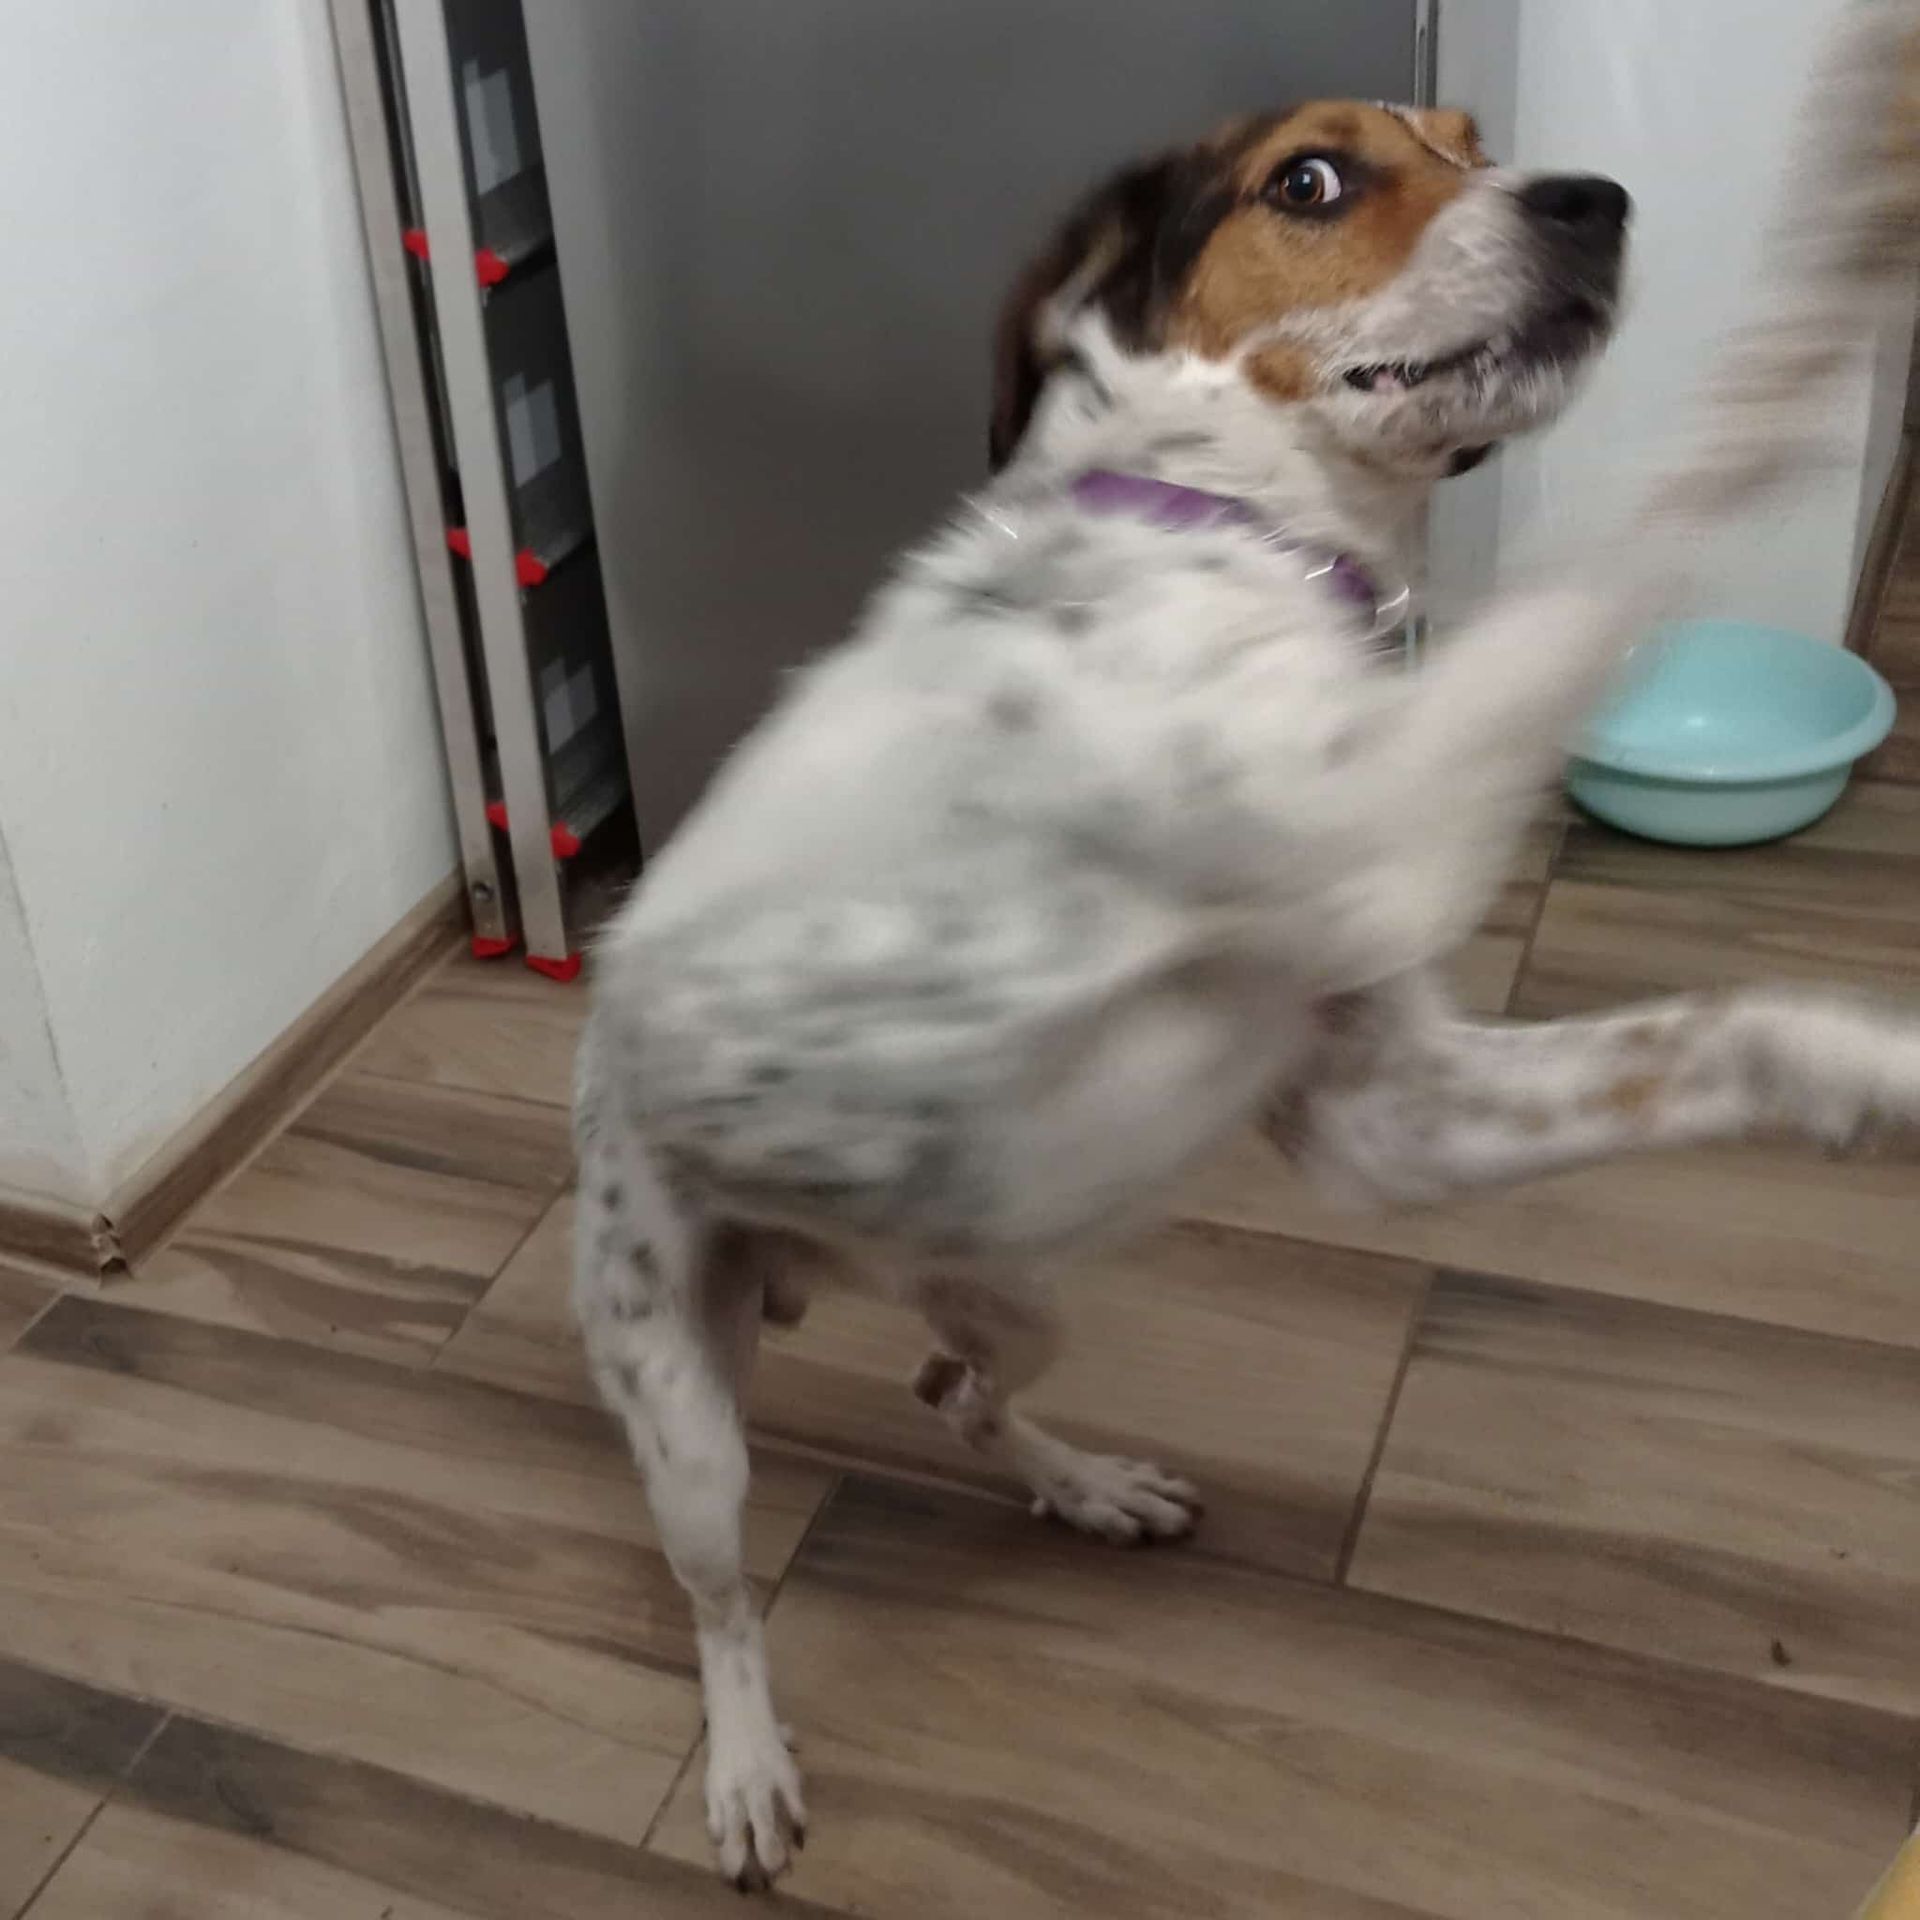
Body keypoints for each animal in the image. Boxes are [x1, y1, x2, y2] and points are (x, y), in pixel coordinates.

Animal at [574, 4, 1920, 1889]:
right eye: (1314, 182)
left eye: (1475, 140)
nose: (1594, 200)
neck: (1234, 539)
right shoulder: (1390, 832)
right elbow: (1681, 485)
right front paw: (1855, 215)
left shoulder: (1392, 1106)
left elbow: (1717, 1034)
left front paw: (1879, 1065)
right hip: (678, 1394)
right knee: (722, 1601)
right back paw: (749, 1767)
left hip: (1011, 1282)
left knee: (951, 1387)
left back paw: (1088, 1487)